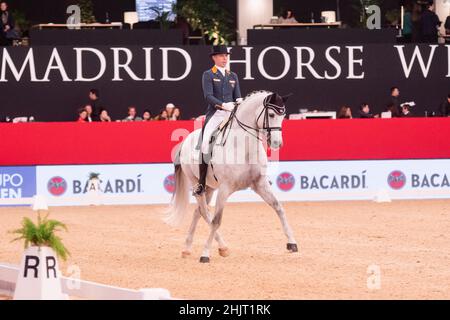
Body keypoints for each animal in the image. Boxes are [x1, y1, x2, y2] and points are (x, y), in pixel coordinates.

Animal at [163, 90, 298, 262]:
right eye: (272, 114)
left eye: (283, 115)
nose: (277, 143)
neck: (244, 147)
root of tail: (186, 140)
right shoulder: (225, 188)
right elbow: (216, 221)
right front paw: (205, 254)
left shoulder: (260, 184)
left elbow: (278, 207)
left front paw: (292, 243)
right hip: (197, 183)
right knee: (205, 212)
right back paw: (221, 247)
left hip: (209, 187)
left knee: (198, 212)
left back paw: (188, 248)